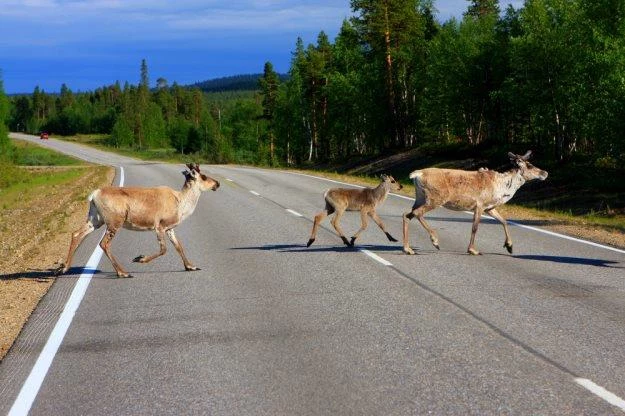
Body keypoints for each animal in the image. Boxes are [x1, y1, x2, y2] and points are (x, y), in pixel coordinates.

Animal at [54, 164, 219, 278]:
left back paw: (64, 268)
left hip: (95, 220)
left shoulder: (170, 228)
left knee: (76, 233)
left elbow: (179, 246)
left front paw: (191, 266)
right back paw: (123, 272)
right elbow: (164, 249)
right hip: (115, 222)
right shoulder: (159, 226)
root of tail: (94, 194)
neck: (181, 203)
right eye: (204, 176)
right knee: (104, 243)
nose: (217, 183)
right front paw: (140, 258)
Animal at [404, 152, 544, 255]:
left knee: (407, 214)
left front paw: (509, 246)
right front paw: (472, 250)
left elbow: (504, 221)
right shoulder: (480, 206)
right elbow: (475, 227)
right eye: (529, 165)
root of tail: (417, 174)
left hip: (420, 198)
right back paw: (435, 241)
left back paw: (408, 249)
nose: (545, 173)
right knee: (416, 213)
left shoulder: (489, 208)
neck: (501, 187)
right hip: (435, 199)